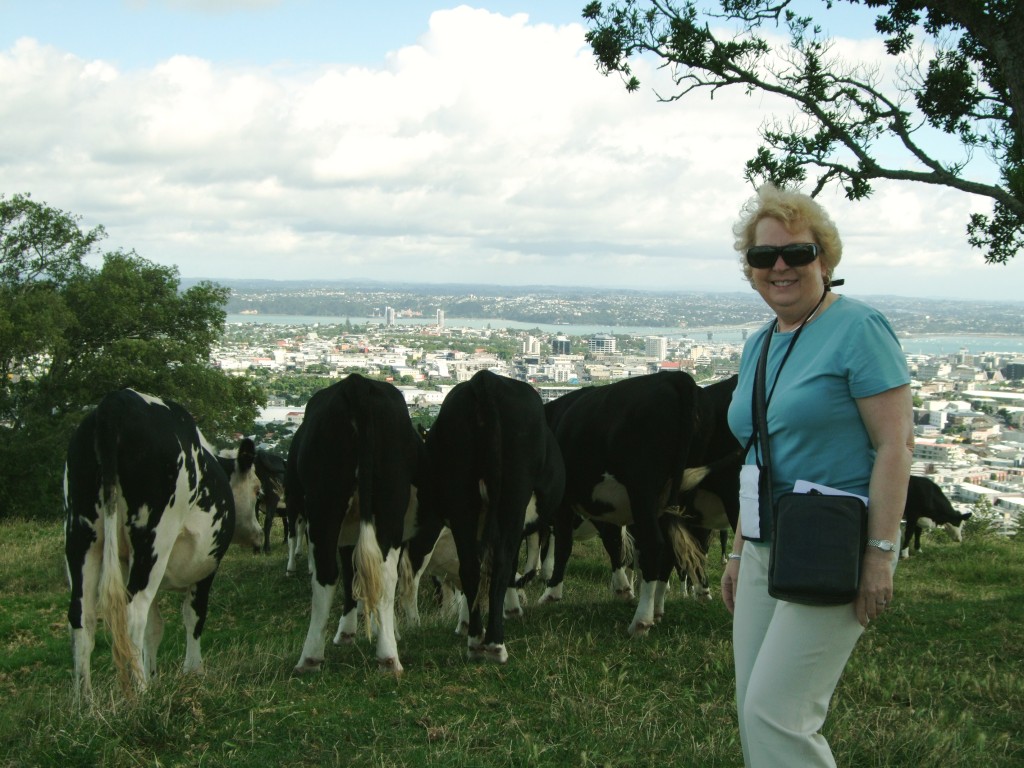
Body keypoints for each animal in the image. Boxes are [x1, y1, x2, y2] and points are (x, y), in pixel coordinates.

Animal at [62, 391, 262, 704]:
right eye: (256, 489)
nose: (258, 534)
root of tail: (118, 401)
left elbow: (154, 628)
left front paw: (154, 676)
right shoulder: (207, 566)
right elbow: (194, 616)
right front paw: (193, 672)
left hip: (81, 535)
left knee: (82, 615)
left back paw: (85, 703)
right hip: (154, 540)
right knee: (133, 613)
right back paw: (140, 697)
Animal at [288, 376, 423, 675]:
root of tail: (357, 383)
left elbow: (350, 575)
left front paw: (346, 631)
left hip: (324, 503)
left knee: (326, 575)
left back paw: (309, 657)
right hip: (390, 502)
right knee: (386, 574)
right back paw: (388, 655)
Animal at [411, 370, 565, 663]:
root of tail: (485, 380)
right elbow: (512, 565)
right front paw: (514, 607)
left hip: (461, 499)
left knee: (470, 567)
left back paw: (474, 640)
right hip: (511, 499)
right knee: (502, 565)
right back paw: (495, 643)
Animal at [540, 372, 724, 638]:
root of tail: (675, 377)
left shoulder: (566, 501)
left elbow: (564, 545)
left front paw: (551, 592)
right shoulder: (603, 506)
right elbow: (613, 543)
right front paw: (622, 588)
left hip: (643, 491)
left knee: (654, 546)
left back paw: (641, 620)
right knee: (674, 550)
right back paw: (657, 610)